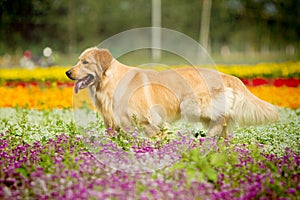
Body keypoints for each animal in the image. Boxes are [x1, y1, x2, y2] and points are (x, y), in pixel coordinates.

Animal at [65, 47, 278, 138]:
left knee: (222, 119)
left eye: (85, 62)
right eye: (78, 60)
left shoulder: (151, 121)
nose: (67, 72)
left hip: (198, 107)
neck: (110, 82)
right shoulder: (116, 123)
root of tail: (225, 74)